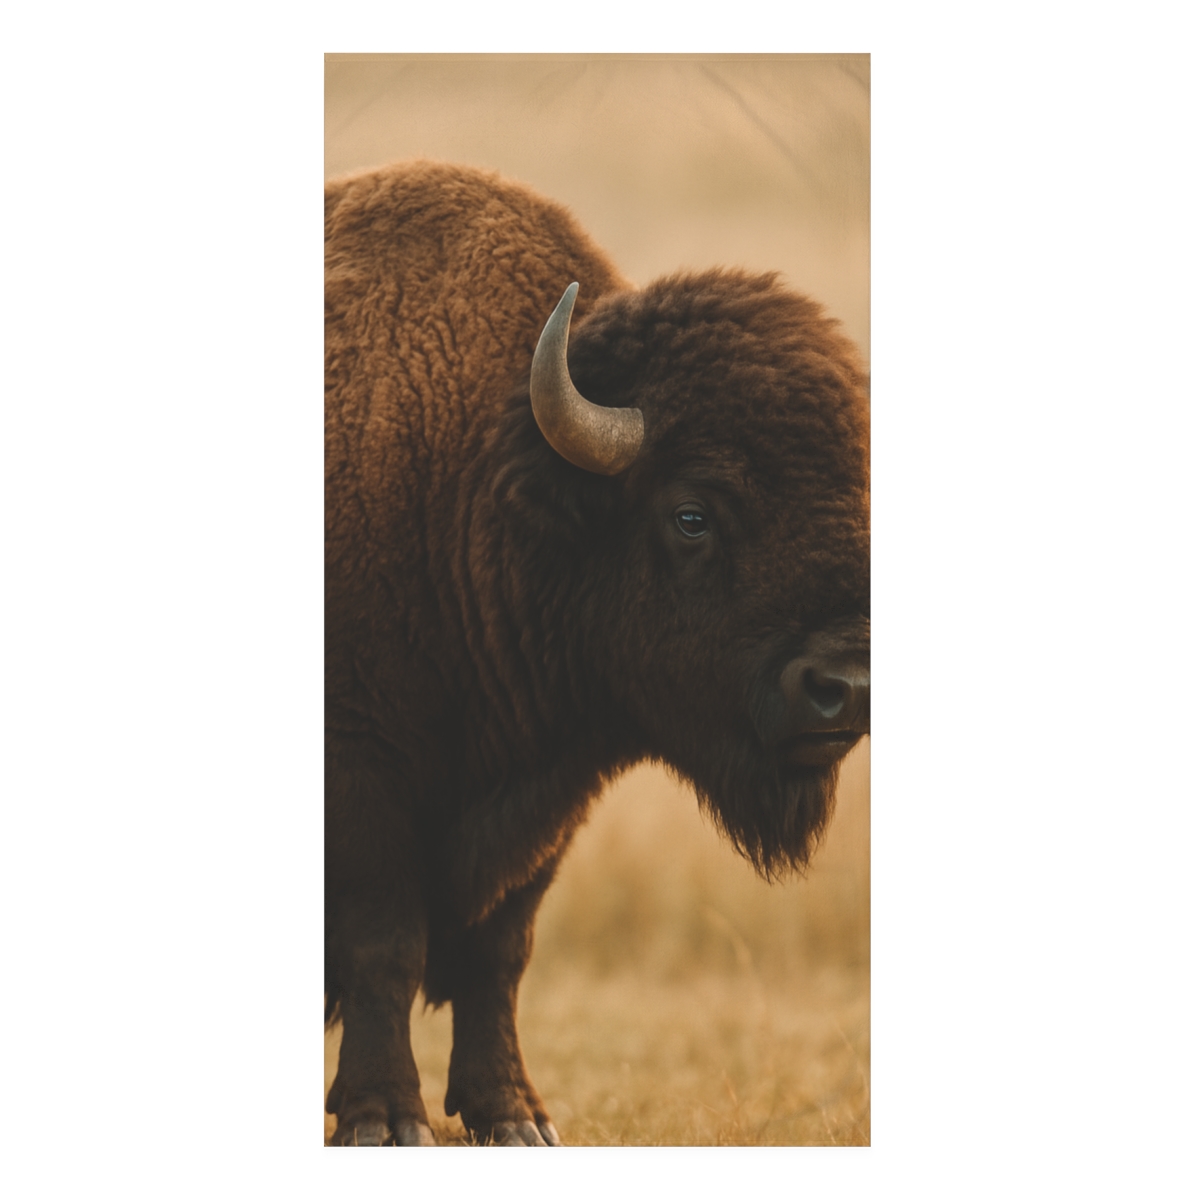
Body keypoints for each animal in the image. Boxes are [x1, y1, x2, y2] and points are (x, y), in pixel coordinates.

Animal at [324, 160, 870, 1146]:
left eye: (860, 493)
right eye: (692, 513)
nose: (844, 687)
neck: (479, 486)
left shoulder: (549, 800)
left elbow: (499, 953)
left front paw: (515, 1119)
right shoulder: (361, 778)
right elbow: (384, 946)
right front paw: (385, 1121)